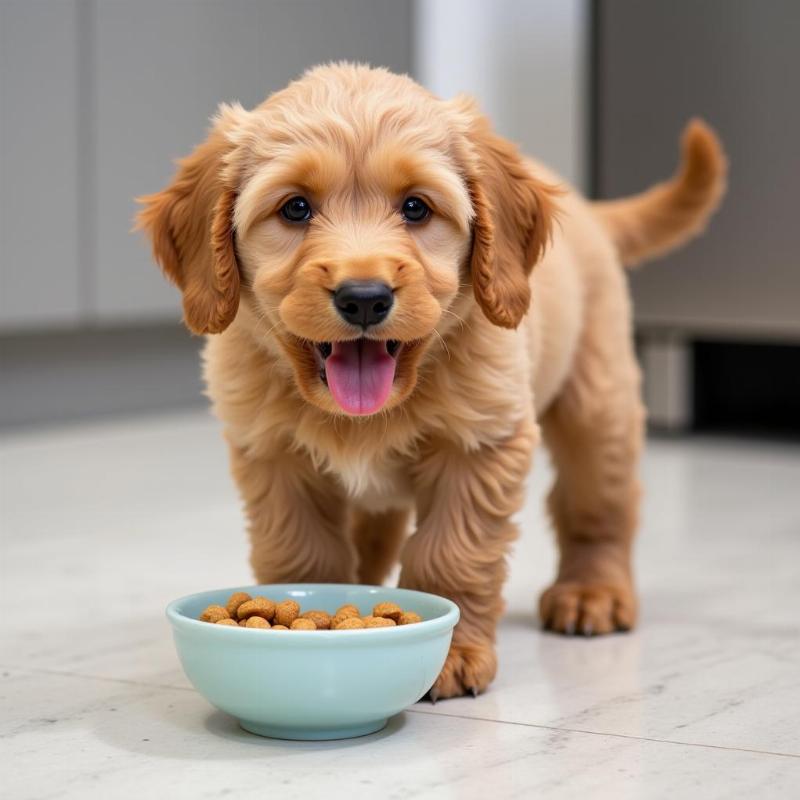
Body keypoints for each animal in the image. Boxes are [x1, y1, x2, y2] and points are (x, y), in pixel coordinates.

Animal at [136, 64, 724, 700]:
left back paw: (592, 592)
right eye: (295, 209)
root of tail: (587, 209)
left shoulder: (480, 446)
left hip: (598, 401)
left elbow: (452, 553)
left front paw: (451, 656)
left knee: (599, 504)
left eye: (416, 208)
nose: (364, 298)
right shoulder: (273, 457)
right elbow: (301, 550)